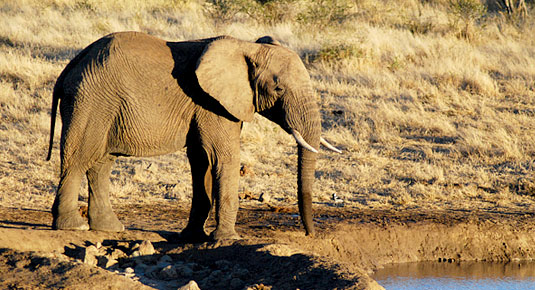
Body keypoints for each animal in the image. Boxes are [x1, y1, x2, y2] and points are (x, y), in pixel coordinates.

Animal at [46, 31, 340, 240]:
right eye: (278, 89)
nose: (310, 234)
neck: (246, 47)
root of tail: (72, 65)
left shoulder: (213, 105)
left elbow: (201, 160)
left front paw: (194, 237)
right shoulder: (211, 103)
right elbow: (224, 158)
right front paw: (227, 240)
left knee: (101, 163)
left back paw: (110, 229)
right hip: (91, 101)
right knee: (79, 158)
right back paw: (73, 228)